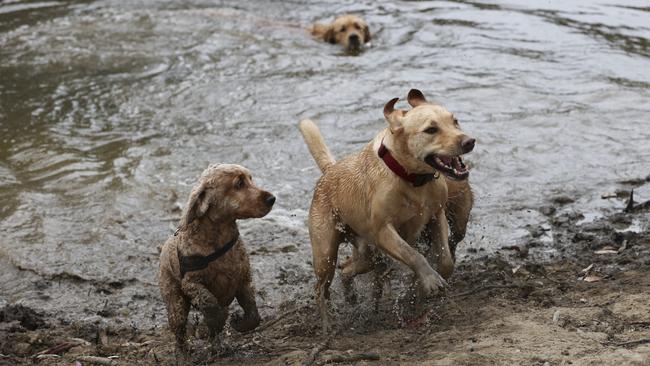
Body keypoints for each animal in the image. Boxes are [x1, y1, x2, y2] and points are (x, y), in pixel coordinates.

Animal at [161, 164, 274, 364]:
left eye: (251, 179)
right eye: (239, 183)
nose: (272, 199)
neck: (219, 239)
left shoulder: (243, 280)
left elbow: (253, 312)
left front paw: (239, 323)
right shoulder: (191, 283)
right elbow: (210, 302)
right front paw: (218, 318)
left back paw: (218, 347)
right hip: (175, 301)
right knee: (179, 334)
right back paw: (183, 357)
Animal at [296, 88, 474, 332]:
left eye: (454, 121)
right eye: (431, 129)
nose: (469, 141)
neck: (412, 178)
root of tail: (330, 171)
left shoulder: (436, 215)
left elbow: (445, 258)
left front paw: (425, 286)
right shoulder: (384, 231)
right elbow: (414, 254)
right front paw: (430, 280)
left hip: (368, 255)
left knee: (346, 269)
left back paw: (351, 297)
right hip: (325, 253)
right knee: (321, 287)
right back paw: (327, 324)